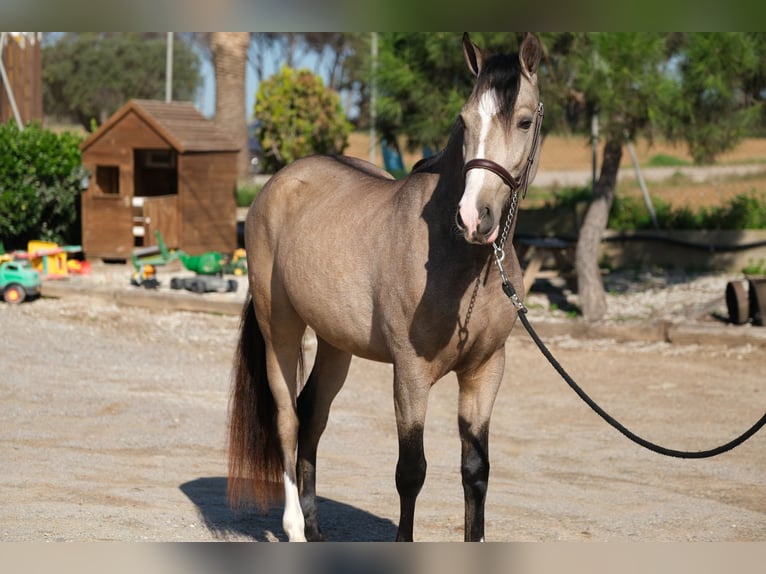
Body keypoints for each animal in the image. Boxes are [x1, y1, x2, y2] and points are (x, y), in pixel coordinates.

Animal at [228, 32, 544, 544]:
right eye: (464, 119)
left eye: (523, 120)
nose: (473, 217)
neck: (465, 266)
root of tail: (275, 184)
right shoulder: (410, 373)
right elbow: (411, 471)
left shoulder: (485, 371)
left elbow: (476, 470)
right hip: (281, 331)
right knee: (288, 419)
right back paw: (295, 527)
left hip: (336, 344)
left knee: (311, 413)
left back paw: (315, 528)